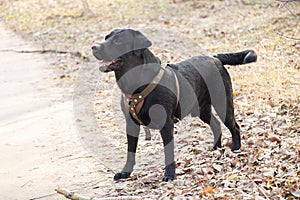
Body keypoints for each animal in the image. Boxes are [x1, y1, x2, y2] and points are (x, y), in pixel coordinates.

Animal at [91, 28, 255, 181]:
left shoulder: (166, 124)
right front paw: (125, 172)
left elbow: (168, 152)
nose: (94, 47)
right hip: (203, 109)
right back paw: (216, 147)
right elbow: (130, 152)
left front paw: (169, 175)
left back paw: (235, 149)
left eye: (118, 41)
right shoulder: (131, 124)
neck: (137, 83)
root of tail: (215, 58)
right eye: (106, 38)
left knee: (234, 126)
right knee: (216, 124)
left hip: (223, 103)